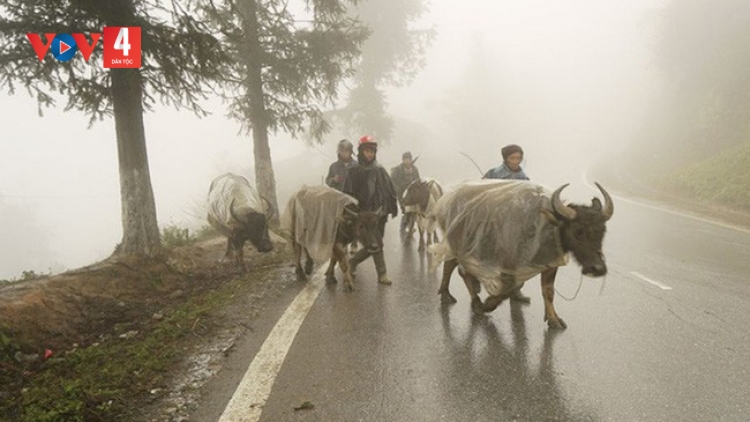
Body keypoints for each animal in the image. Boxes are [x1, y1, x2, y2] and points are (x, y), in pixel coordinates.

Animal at [432, 179, 612, 330]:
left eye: (602, 231)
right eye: (578, 232)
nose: (598, 269)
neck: (547, 227)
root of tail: (446, 199)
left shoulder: (550, 264)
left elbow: (548, 291)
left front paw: (553, 319)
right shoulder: (509, 266)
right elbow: (510, 288)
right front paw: (488, 304)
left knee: (458, 268)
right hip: (459, 244)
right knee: (455, 267)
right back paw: (458, 298)